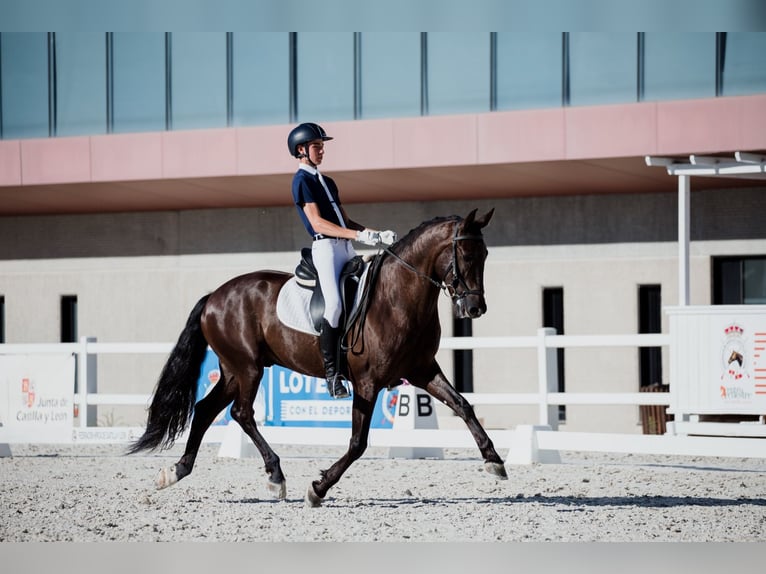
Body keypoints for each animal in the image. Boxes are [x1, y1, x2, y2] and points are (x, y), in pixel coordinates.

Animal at [127, 210, 510, 508]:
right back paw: (276, 476)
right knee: (241, 413)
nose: (475, 308)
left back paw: (176, 471)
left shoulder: (422, 371)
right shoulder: (367, 383)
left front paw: (494, 461)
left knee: (207, 409)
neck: (398, 297)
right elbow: (357, 443)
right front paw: (318, 488)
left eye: (485, 254)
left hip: (235, 370)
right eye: (465, 253)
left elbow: (463, 405)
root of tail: (214, 296)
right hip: (248, 368)